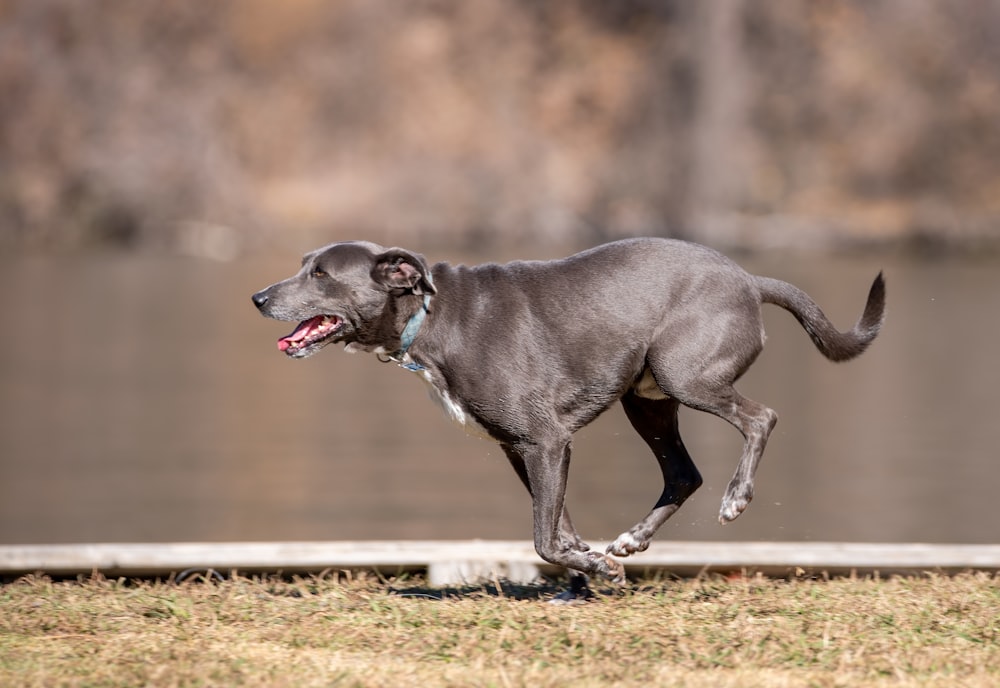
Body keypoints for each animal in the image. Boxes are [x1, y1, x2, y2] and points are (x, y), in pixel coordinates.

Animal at [252, 236, 884, 592]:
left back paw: (735, 500)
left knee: (761, 419)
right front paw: (591, 573)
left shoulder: (547, 440)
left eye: (321, 274)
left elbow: (543, 540)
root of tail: (750, 280)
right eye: (304, 265)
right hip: (645, 398)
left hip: (687, 375)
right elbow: (561, 527)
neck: (430, 317)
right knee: (683, 473)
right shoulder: (522, 449)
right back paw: (629, 541)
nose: (258, 297)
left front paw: (598, 572)